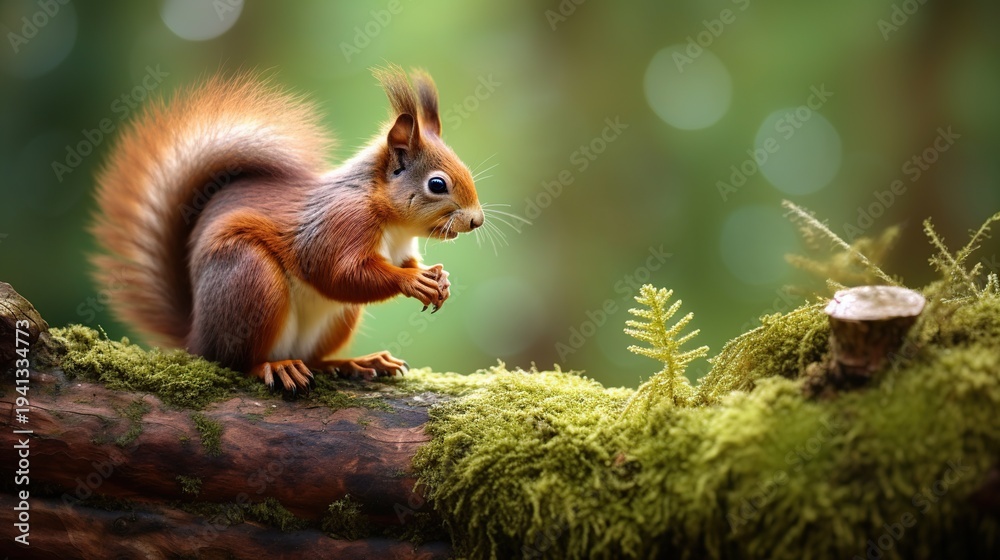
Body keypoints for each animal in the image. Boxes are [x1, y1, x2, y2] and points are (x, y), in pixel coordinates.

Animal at [90, 67, 484, 391]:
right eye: (437, 184)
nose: (476, 220)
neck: (394, 223)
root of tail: (196, 336)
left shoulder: (401, 248)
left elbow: (403, 263)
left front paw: (439, 278)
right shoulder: (340, 223)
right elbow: (339, 273)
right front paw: (413, 282)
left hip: (336, 319)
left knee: (313, 359)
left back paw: (353, 362)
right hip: (250, 280)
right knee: (235, 361)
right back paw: (273, 367)